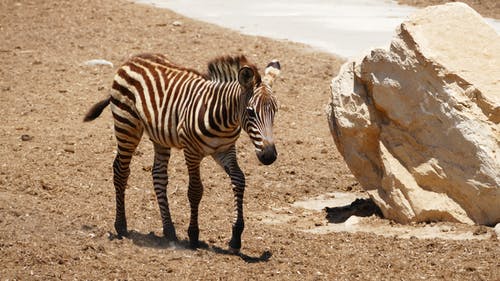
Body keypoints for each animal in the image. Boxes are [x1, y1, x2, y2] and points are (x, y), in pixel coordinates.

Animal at [85, 53, 282, 252]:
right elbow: (195, 190)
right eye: (250, 112)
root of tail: (133, 59)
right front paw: (193, 236)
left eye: (275, 111)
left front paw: (236, 236)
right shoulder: (191, 152)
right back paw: (121, 226)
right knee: (121, 170)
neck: (224, 118)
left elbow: (239, 180)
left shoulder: (225, 150)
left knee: (158, 176)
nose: (269, 156)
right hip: (127, 126)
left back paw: (169, 230)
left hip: (159, 137)